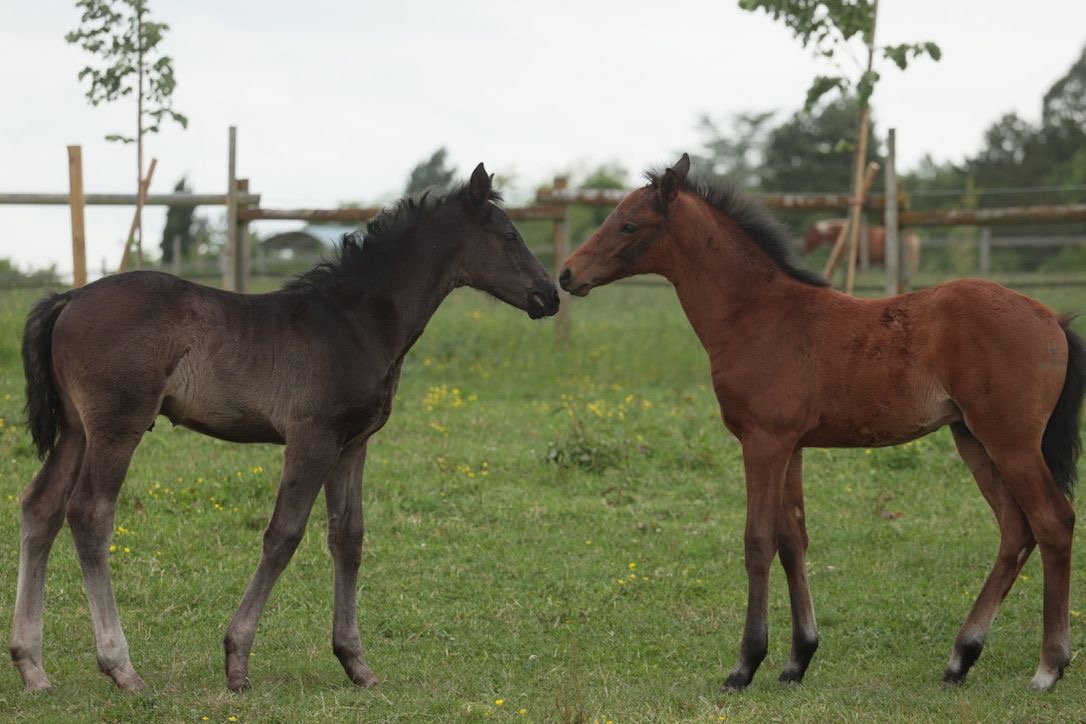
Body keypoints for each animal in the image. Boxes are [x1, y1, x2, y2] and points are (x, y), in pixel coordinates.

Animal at [11, 163, 560, 693]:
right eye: (509, 235)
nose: (550, 295)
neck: (354, 323)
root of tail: (69, 298)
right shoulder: (312, 438)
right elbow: (284, 535)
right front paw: (236, 661)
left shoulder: (352, 444)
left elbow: (348, 537)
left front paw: (356, 663)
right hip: (116, 427)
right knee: (90, 515)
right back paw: (120, 667)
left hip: (76, 432)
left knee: (41, 509)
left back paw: (32, 667)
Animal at [559, 154, 1083, 692]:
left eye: (628, 224)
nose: (566, 273)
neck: (755, 314)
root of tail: (1052, 319)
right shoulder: (791, 445)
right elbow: (793, 541)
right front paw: (797, 659)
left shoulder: (763, 441)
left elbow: (758, 541)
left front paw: (744, 665)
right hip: (973, 439)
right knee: (1015, 531)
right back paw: (961, 658)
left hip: (1012, 441)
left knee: (1053, 522)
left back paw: (1049, 666)